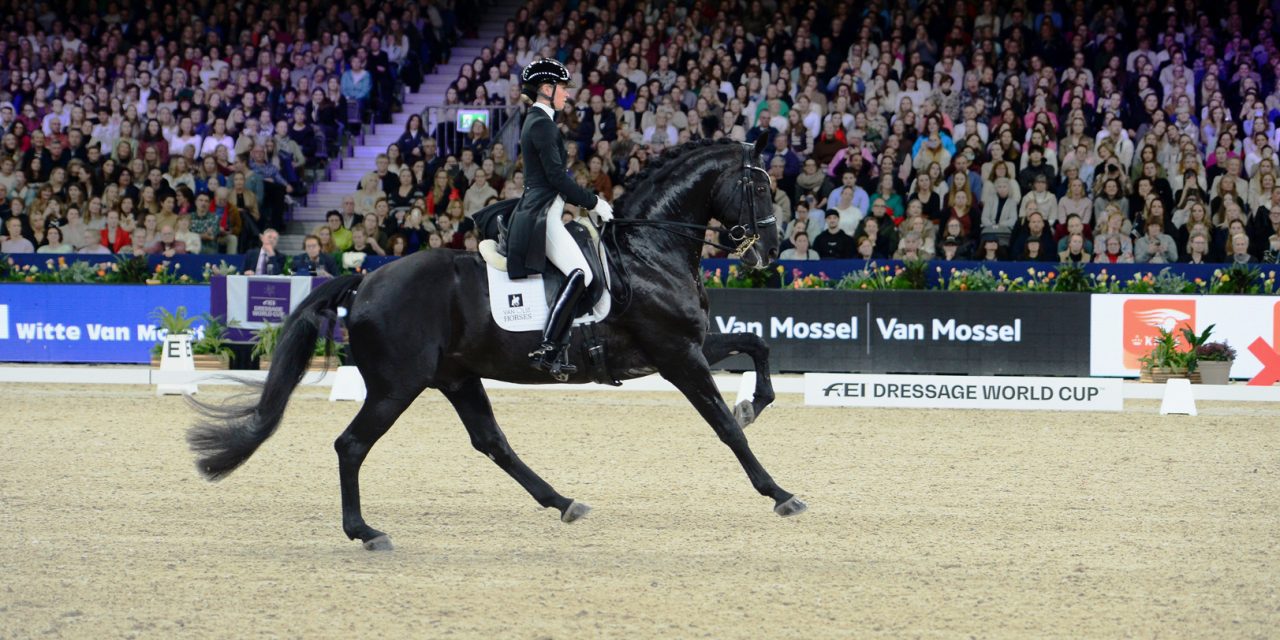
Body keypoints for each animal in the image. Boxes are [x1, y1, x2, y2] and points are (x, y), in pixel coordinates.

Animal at [186, 136, 808, 550]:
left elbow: (758, 346)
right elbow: (725, 427)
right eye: (757, 185)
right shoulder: (677, 355)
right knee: (352, 445)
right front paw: (780, 492)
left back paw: (564, 503)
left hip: (457, 376)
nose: (769, 251)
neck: (649, 250)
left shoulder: (688, 345)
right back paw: (366, 532)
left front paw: (756, 403)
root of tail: (367, 279)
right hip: (397, 385)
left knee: (492, 442)